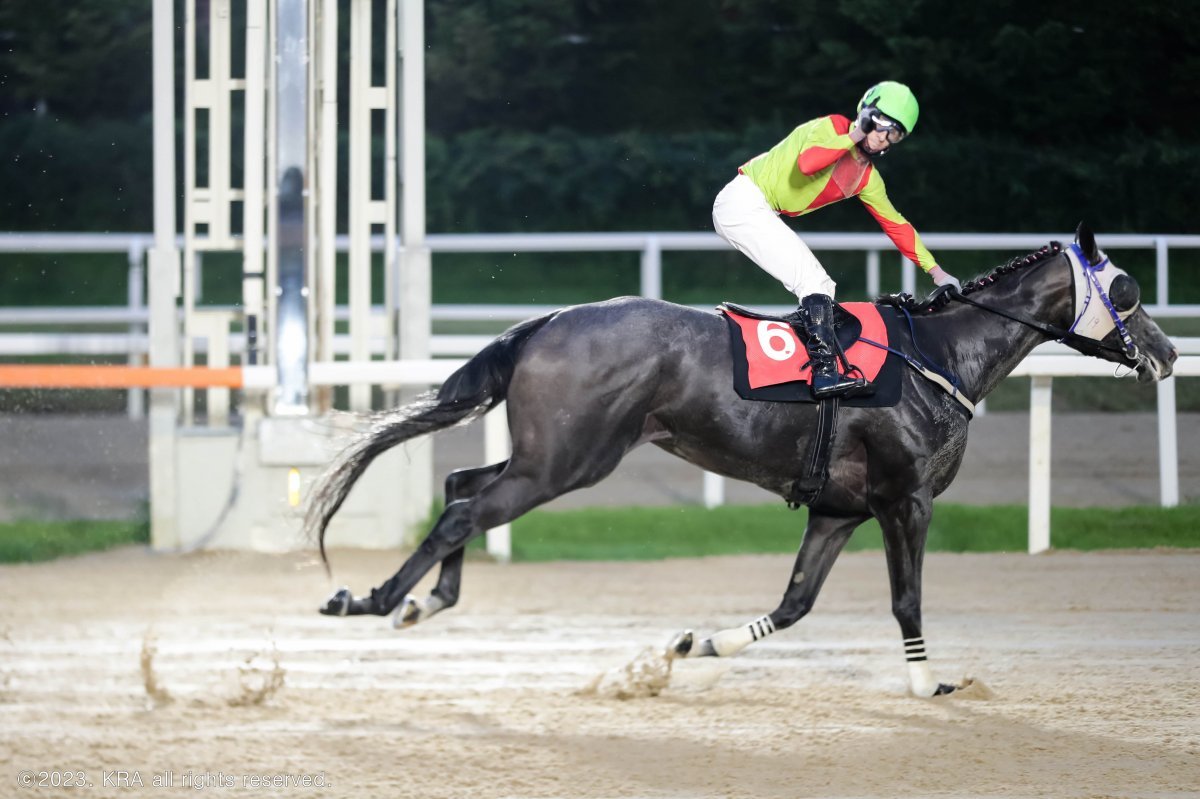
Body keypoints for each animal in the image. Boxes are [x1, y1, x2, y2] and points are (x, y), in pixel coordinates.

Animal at [304, 220, 1176, 695]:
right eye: (1128, 289)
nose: (1168, 354)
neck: (938, 357)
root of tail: (545, 320)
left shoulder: (839, 508)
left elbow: (794, 603)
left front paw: (699, 645)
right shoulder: (906, 501)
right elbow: (907, 602)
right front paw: (929, 679)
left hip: (547, 456)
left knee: (460, 485)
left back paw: (424, 600)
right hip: (568, 461)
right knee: (463, 508)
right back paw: (375, 597)